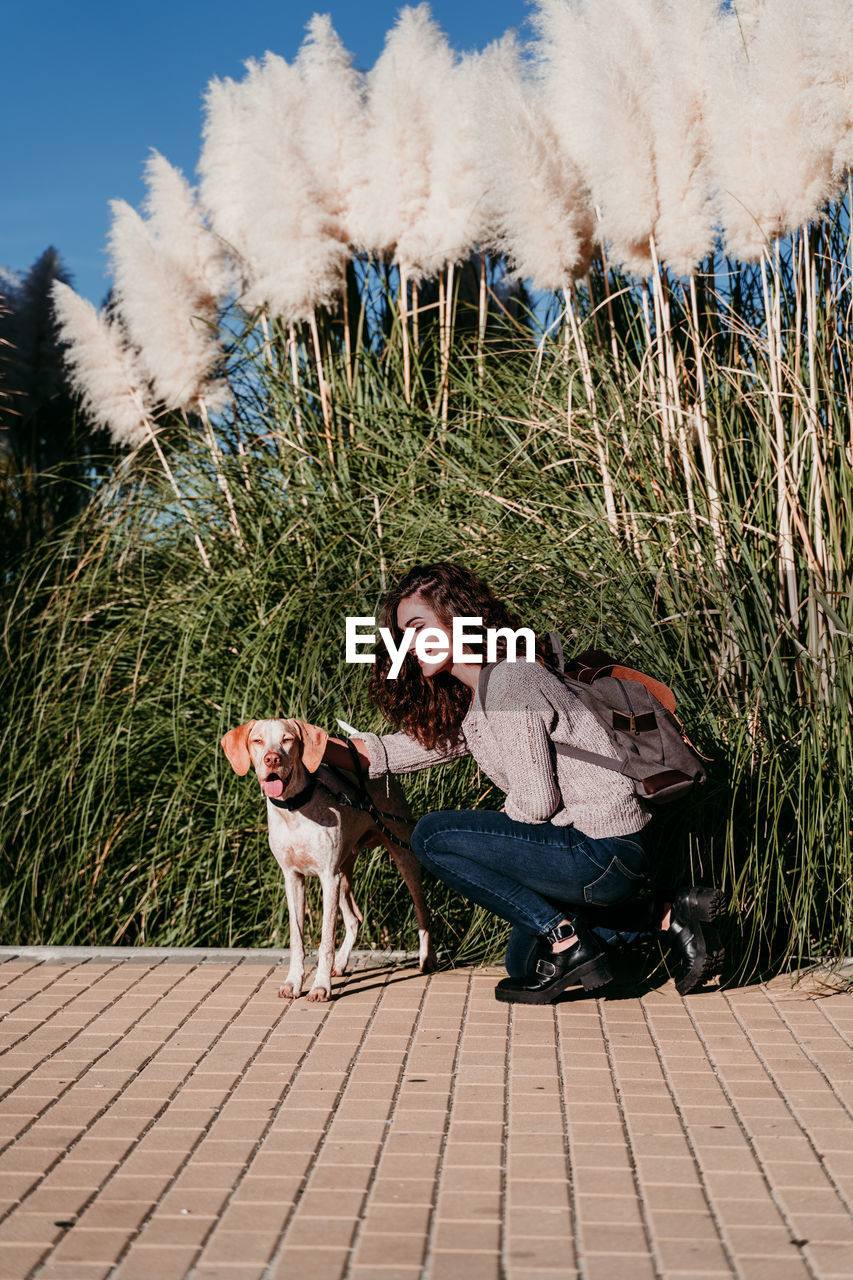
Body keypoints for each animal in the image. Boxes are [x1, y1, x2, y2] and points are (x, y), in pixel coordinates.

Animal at [219, 721, 435, 998]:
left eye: (287, 740)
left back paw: (427, 959)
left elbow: (326, 940)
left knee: (422, 911)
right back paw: (341, 963)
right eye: (257, 741)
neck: (295, 810)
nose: (272, 759)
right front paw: (293, 982)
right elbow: (297, 938)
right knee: (355, 918)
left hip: (402, 855)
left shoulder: (327, 878)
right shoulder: (293, 878)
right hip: (343, 871)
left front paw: (320, 986)